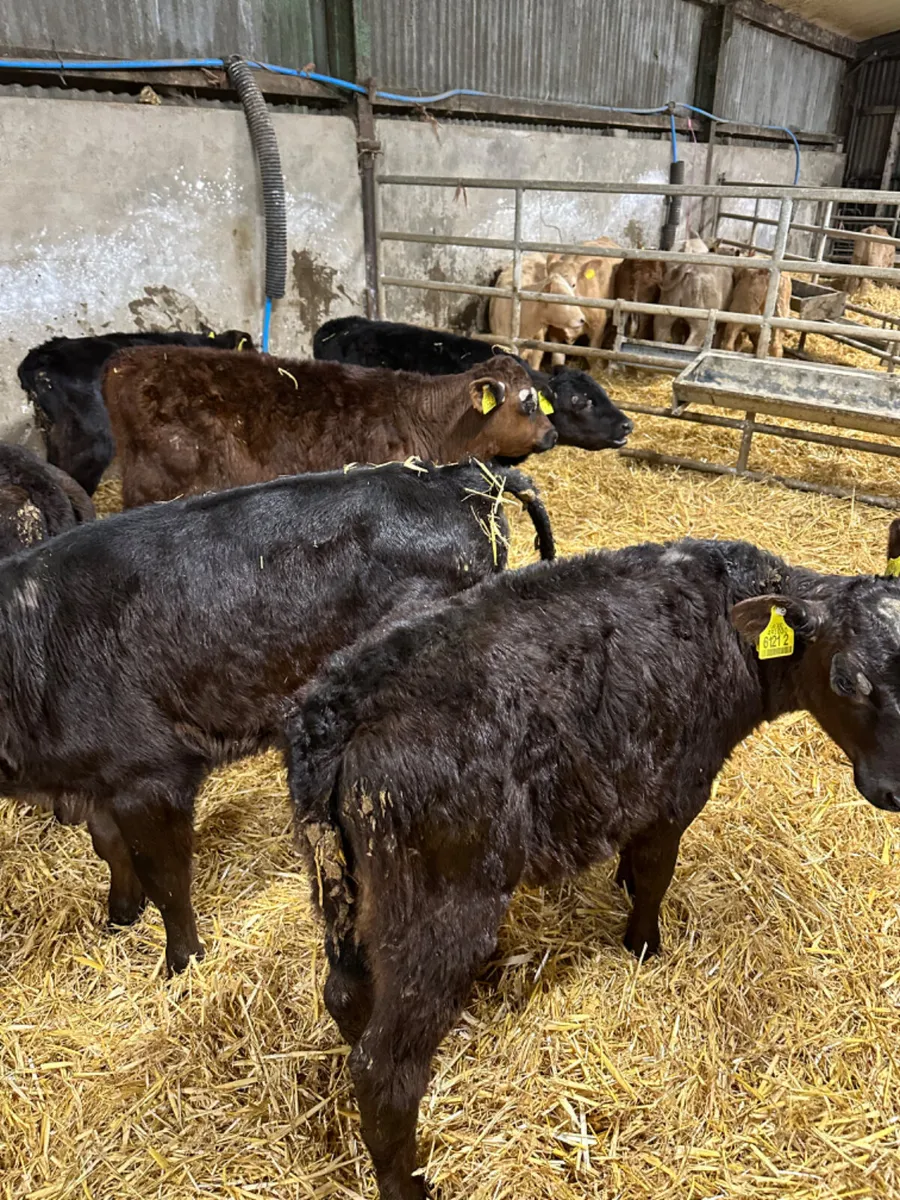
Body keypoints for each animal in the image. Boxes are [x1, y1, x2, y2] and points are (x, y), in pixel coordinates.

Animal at [0, 459, 553, 976]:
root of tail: (456, 473)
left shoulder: (150, 777)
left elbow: (167, 881)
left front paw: (182, 962)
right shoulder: (95, 782)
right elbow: (109, 848)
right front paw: (120, 914)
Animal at [287, 523, 900, 1199]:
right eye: (846, 681)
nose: (896, 791)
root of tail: (337, 709)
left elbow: (635, 865)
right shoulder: (675, 789)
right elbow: (655, 877)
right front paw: (644, 948)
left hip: (340, 892)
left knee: (345, 995)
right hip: (440, 908)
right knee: (384, 1070)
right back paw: (412, 1181)